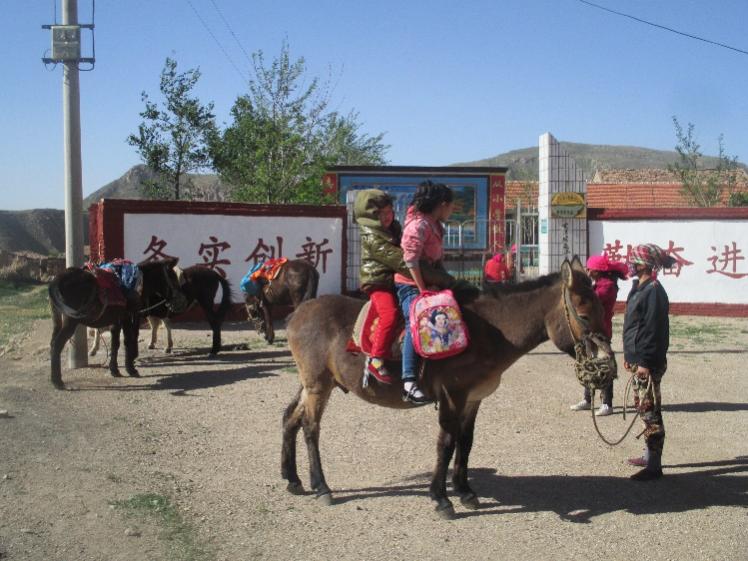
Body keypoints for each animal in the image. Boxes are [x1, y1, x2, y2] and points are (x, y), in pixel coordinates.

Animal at [48, 258, 186, 390]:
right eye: (173, 277)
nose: (180, 302)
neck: (138, 282)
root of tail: (57, 280)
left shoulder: (117, 320)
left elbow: (115, 344)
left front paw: (114, 370)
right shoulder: (129, 317)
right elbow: (128, 340)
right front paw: (131, 368)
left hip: (57, 320)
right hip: (70, 322)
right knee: (57, 345)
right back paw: (57, 382)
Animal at [280, 258, 612, 516]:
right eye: (584, 315)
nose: (607, 360)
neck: (488, 332)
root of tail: (299, 312)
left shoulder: (473, 399)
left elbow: (466, 442)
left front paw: (464, 491)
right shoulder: (453, 397)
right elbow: (447, 443)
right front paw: (441, 498)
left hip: (310, 384)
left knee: (290, 418)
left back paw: (292, 479)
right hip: (319, 386)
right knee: (310, 427)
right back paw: (321, 486)